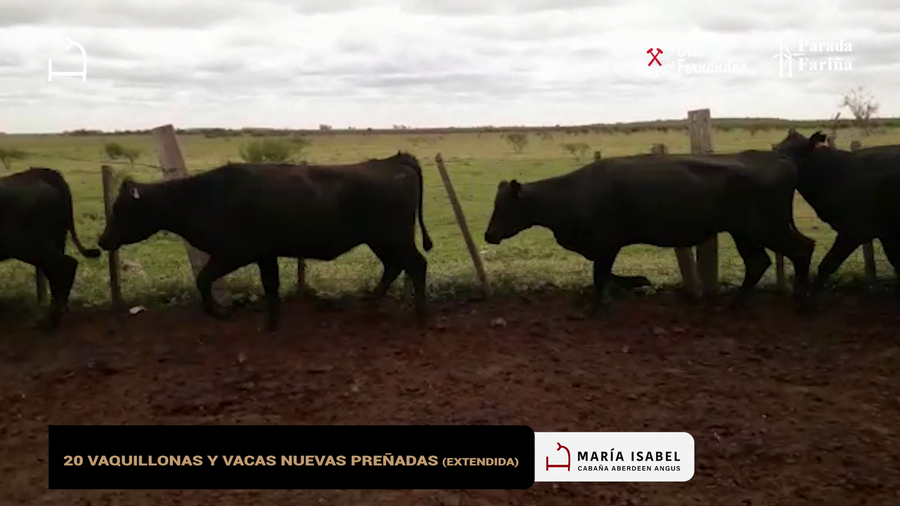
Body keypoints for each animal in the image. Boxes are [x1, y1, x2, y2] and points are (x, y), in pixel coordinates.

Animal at [0, 167, 101, 328]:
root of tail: (42, 172)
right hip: (57, 239)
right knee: (56, 273)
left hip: (28, 244)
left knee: (65, 265)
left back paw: (50, 319)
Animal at [97, 151, 433, 331]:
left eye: (121, 210)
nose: (102, 240)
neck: (199, 198)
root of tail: (394, 161)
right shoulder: (265, 253)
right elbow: (270, 285)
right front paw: (272, 322)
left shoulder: (233, 252)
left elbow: (203, 280)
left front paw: (222, 312)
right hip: (382, 240)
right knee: (394, 266)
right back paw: (373, 301)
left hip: (393, 237)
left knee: (416, 264)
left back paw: (420, 315)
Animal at [483, 151, 815, 314]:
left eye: (504, 207)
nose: (488, 235)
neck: (572, 195)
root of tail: (779, 160)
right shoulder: (604, 245)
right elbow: (604, 273)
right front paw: (638, 282)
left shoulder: (607, 242)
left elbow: (599, 274)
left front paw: (597, 307)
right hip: (746, 233)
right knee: (760, 262)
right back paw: (739, 303)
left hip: (764, 228)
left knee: (802, 248)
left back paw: (802, 301)